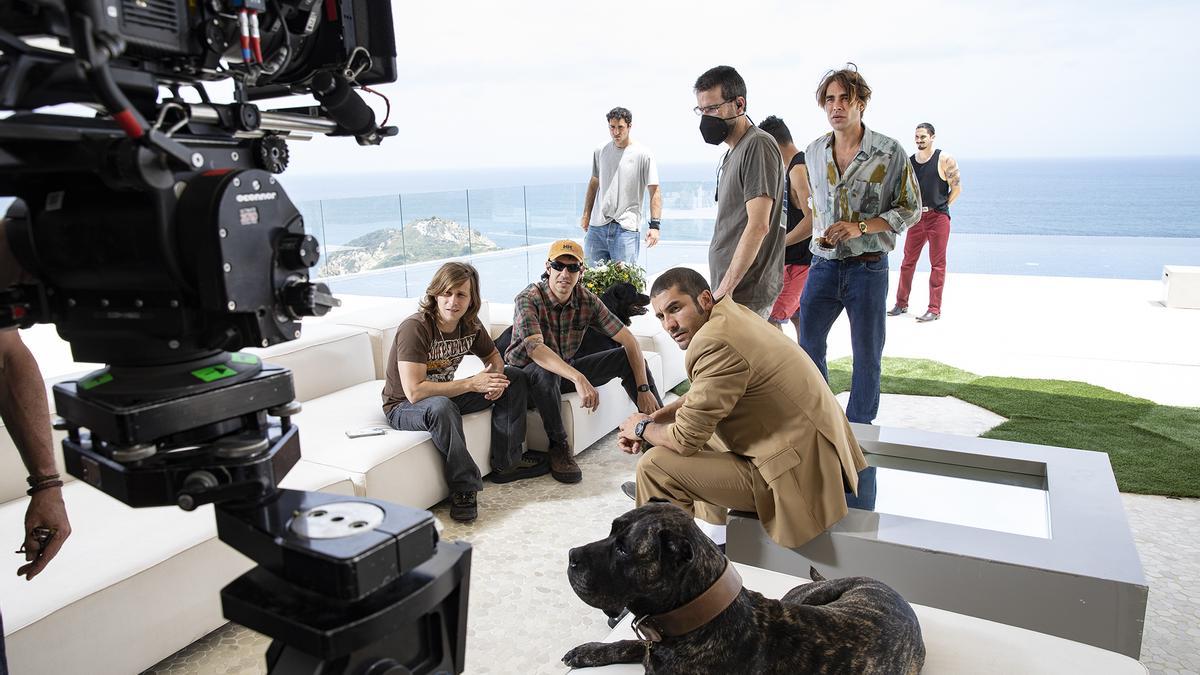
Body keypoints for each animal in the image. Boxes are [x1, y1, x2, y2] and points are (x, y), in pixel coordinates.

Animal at [564, 502, 926, 667]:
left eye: (624, 549)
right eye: (612, 530)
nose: (571, 555)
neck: (700, 615)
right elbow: (633, 644)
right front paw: (591, 650)